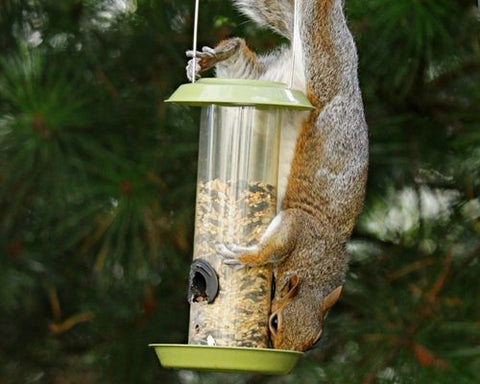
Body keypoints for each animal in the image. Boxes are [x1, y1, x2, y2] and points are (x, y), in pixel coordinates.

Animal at [187, 0, 368, 352]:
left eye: (314, 341)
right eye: (274, 322)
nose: (286, 354)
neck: (319, 265)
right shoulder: (299, 224)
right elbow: (276, 241)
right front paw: (248, 256)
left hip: (256, 77)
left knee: (242, 56)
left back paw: (218, 55)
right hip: (321, 63)